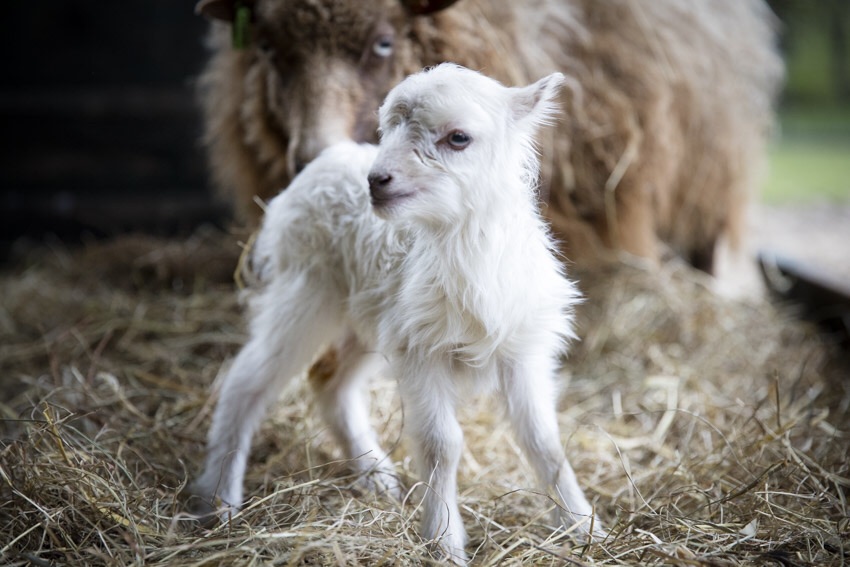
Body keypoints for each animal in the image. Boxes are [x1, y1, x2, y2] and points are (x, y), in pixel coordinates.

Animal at [192, 63, 604, 564]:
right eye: (386, 130)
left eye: (458, 137)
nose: (376, 180)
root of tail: (333, 155)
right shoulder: (421, 351)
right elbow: (442, 445)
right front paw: (443, 542)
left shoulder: (518, 348)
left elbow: (544, 441)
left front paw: (583, 526)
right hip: (306, 291)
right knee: (245, 381)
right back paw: (220, 501)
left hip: (369, 318)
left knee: (329, 382)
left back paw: (376, 476)